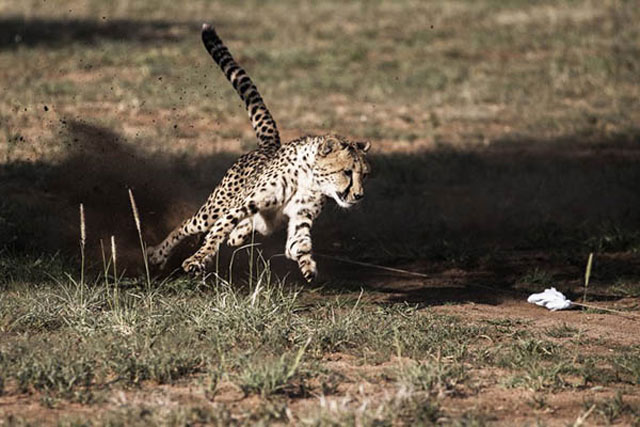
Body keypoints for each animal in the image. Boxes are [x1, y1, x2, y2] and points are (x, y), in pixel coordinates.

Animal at [148, 24, 370, 284]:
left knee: (242, 232)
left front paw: (308, 267)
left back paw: (240, 233)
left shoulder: (300, 217)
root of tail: (268, 146)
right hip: (214, 208)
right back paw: (157, 254)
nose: (359, 195)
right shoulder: (244, 204)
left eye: (365, 175)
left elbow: (298, 244)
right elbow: (219, 230)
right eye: (347, 172)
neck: (308, 178)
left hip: (262, 222)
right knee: (189, 224)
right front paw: (198, 258)